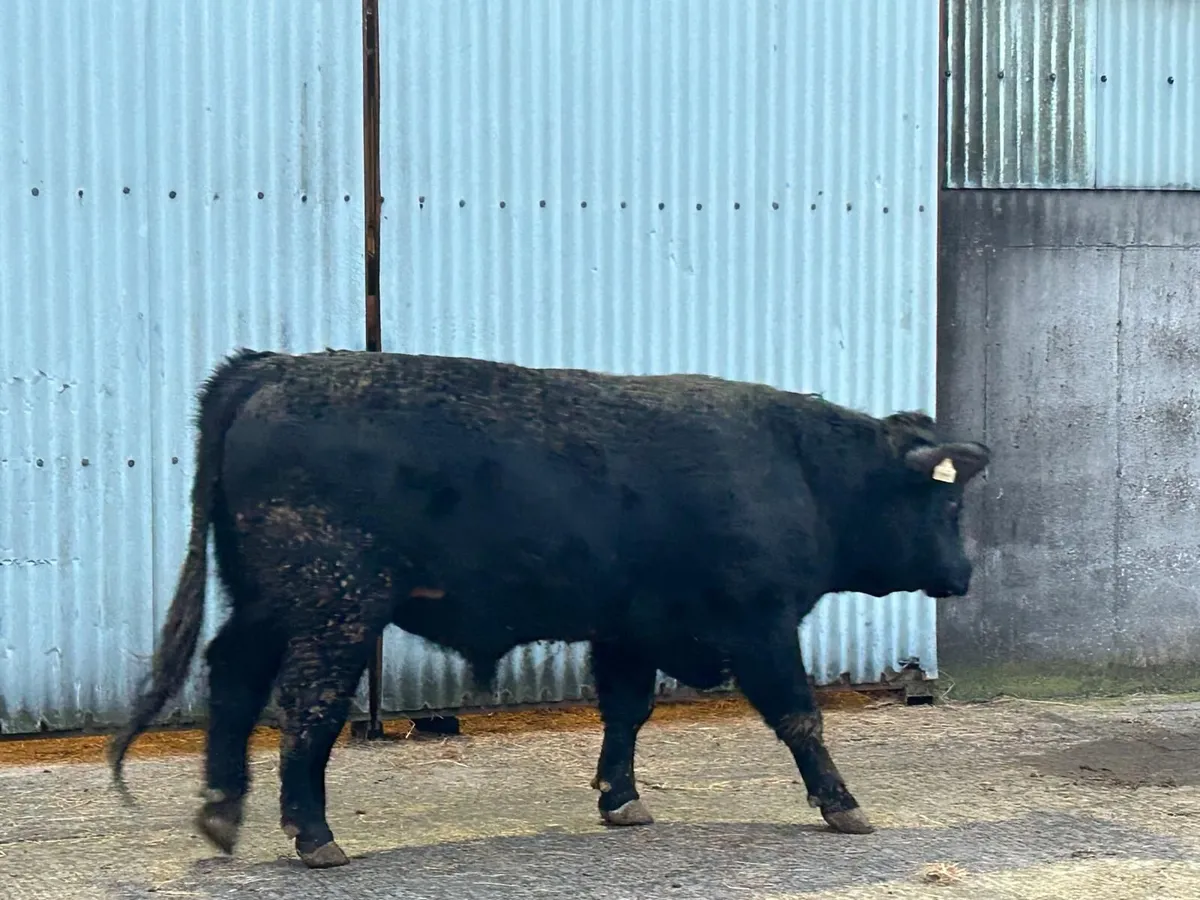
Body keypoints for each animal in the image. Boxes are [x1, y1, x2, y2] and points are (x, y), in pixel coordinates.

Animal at [107, 348, 990, 869]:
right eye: (948, 506)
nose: (964, 572)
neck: (801, 468)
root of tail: (275, 366)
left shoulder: (629, 628)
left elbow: (626, 712)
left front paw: (620, 799)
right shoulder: (761, 624)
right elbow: (800, 716)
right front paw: (843, 804)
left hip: (268, 602)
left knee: (232, 676)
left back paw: (224, 811)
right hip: (335, 608)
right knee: (307, 708)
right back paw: (313, 835)